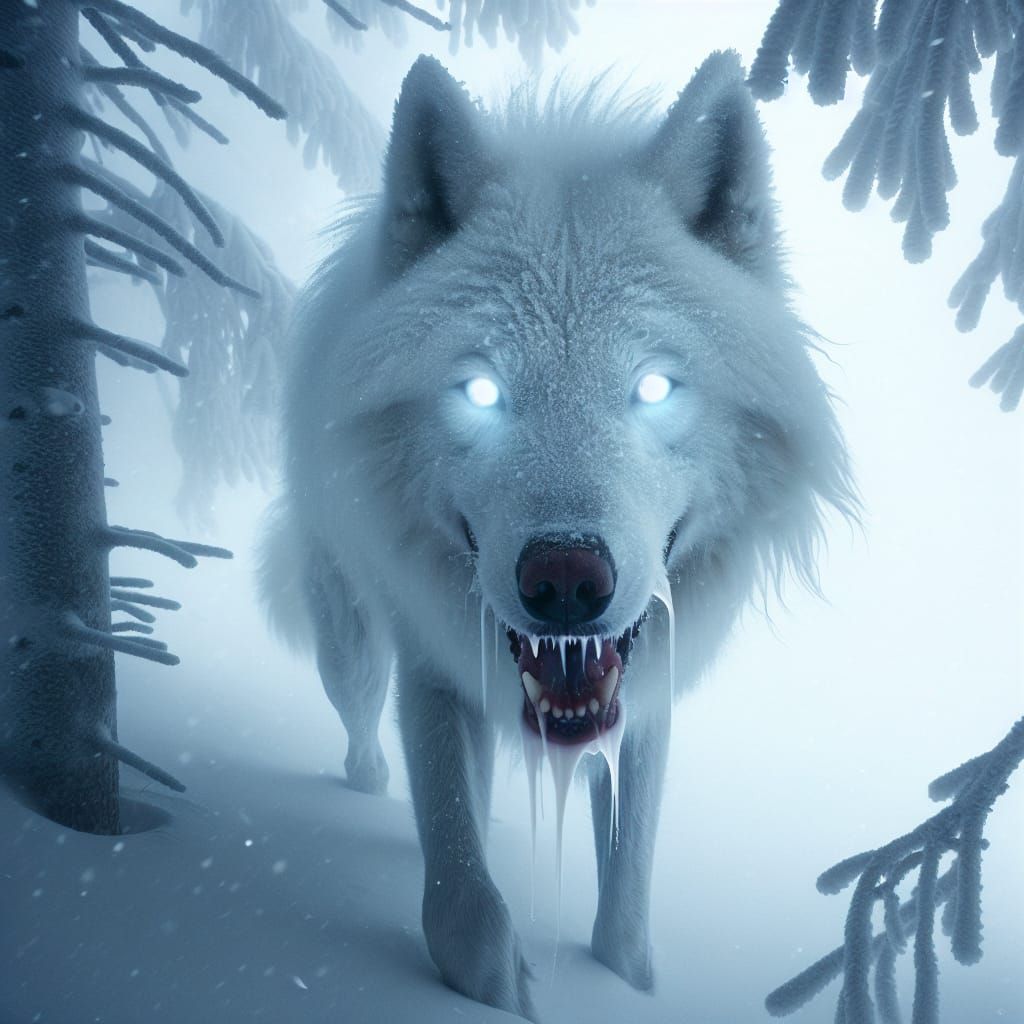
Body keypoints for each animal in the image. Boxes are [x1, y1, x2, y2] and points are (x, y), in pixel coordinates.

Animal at [260, 51, 854, 1020]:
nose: (567, 582)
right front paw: (503, 988)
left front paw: (622, 983)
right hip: (349, 639)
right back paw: (368, 785)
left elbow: (625, 915)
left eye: (652, 387)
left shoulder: (644, 710)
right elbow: (461, 906)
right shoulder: (433, 675)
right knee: (360, 724)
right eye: (481, 390)